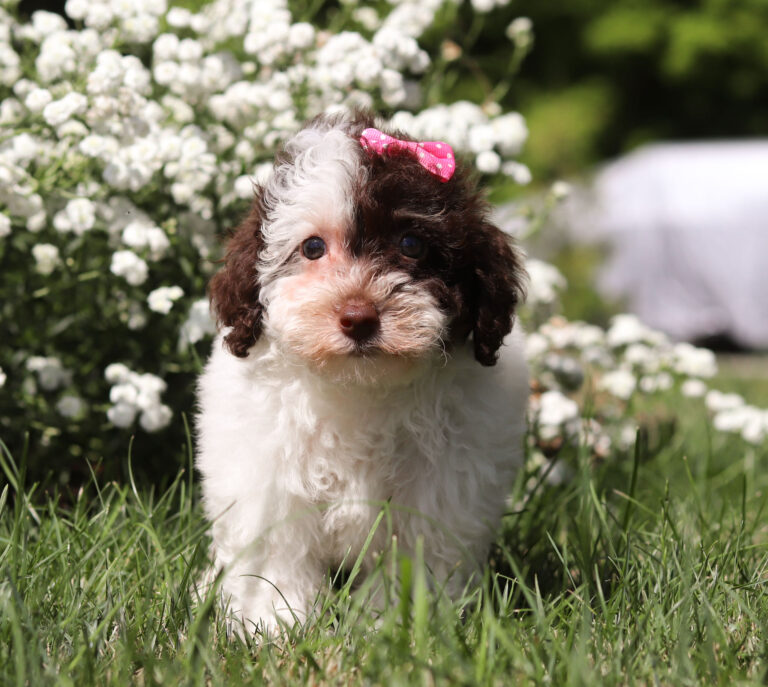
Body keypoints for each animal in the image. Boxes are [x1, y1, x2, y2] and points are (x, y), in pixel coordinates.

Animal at [196, 111, 528, 636]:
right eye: (312, 248)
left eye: (411, 244)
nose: (358, 318)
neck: (360, 388)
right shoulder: (269, 483)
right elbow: (277, 556)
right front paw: (276, 627)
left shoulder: (441, 492)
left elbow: (415, 559)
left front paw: (394, 627)